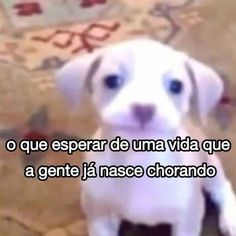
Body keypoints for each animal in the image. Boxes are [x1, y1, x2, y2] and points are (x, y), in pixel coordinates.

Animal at [56, 38, 236, 236]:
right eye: (112, 80)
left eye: (176, 86)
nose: (143, 108)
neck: (139, 161)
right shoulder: (100, 217)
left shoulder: (188, 218)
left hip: (211, 165)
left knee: (222, 187)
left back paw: (230, 218)